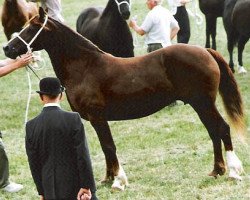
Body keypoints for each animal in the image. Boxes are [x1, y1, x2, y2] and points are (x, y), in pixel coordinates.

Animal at [3, 8, 245, 191]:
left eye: (32, 27)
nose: (7, 48)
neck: (86, 67)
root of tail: (206, 51)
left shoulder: (98, 117)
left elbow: (109, 146)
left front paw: (118, 182)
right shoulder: (95, 120)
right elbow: (105, 148)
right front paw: (108, 178)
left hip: (203, 103)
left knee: (221, 129)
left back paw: (233, 171)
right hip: (201, 105)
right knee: (213, 131)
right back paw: (217, 170)